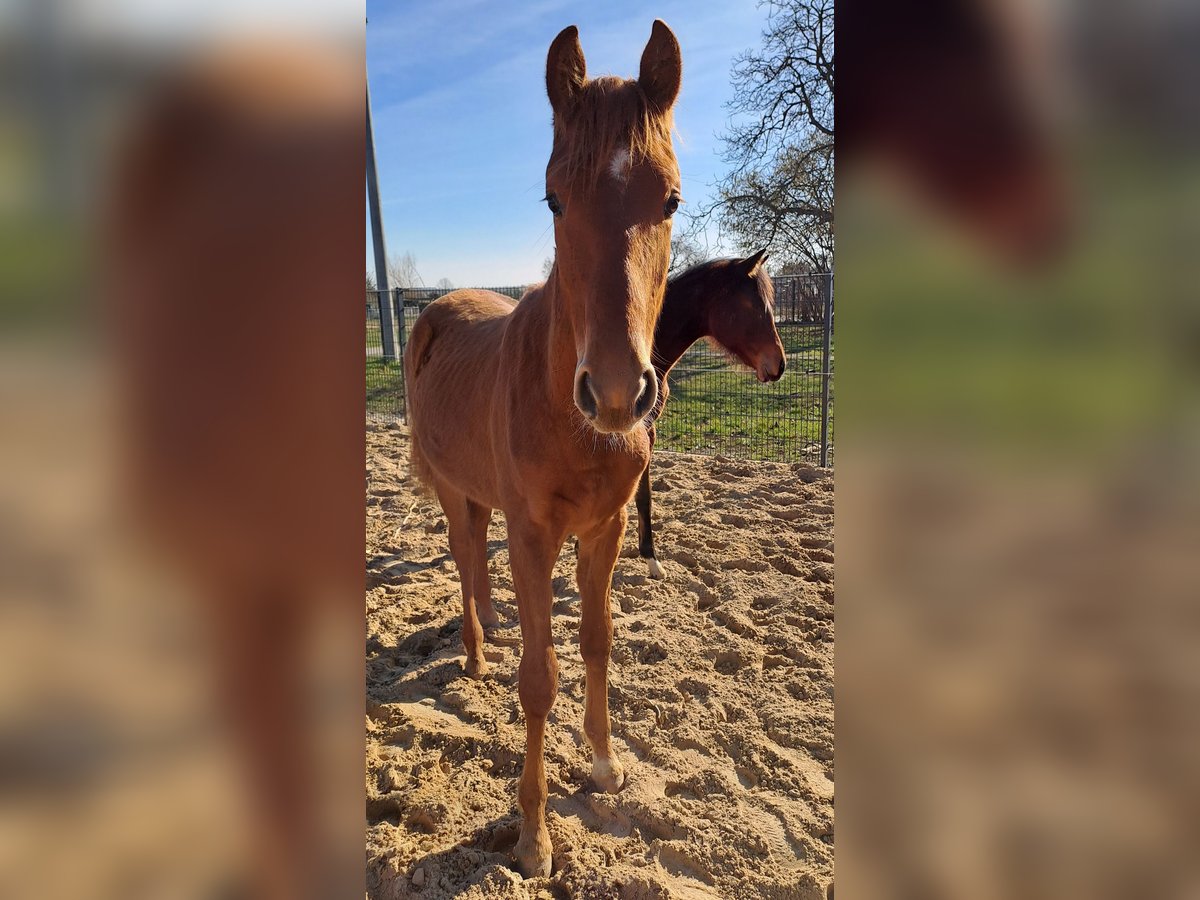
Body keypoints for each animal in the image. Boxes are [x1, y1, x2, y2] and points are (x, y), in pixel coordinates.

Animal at [405, 21, 681, 883]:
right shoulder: (535, 537)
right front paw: (533, 836)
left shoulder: (607, 531)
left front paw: (605, 764)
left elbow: (596, 643)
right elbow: (539, 679)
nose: (620, 392)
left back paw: (491, 626)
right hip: (453, 488)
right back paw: (473, 653)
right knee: (463, 553)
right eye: (555, 198)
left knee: (476, 558)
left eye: (670, 200)